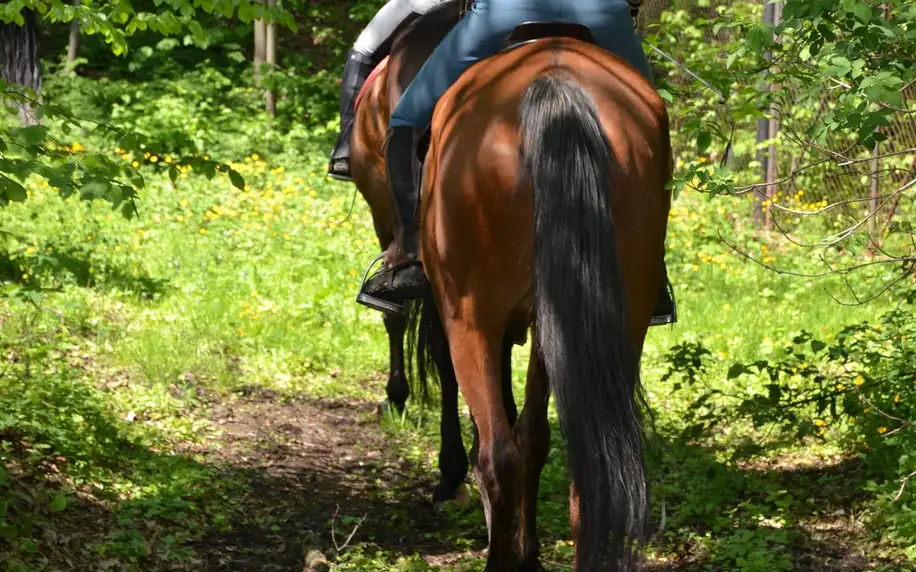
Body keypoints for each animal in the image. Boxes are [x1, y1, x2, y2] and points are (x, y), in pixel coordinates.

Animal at [408, 24, 672, 568]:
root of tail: (555, 87)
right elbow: (535, 433)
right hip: (614, 321)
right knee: (586, 469)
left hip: (472, 319)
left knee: (498, 455)